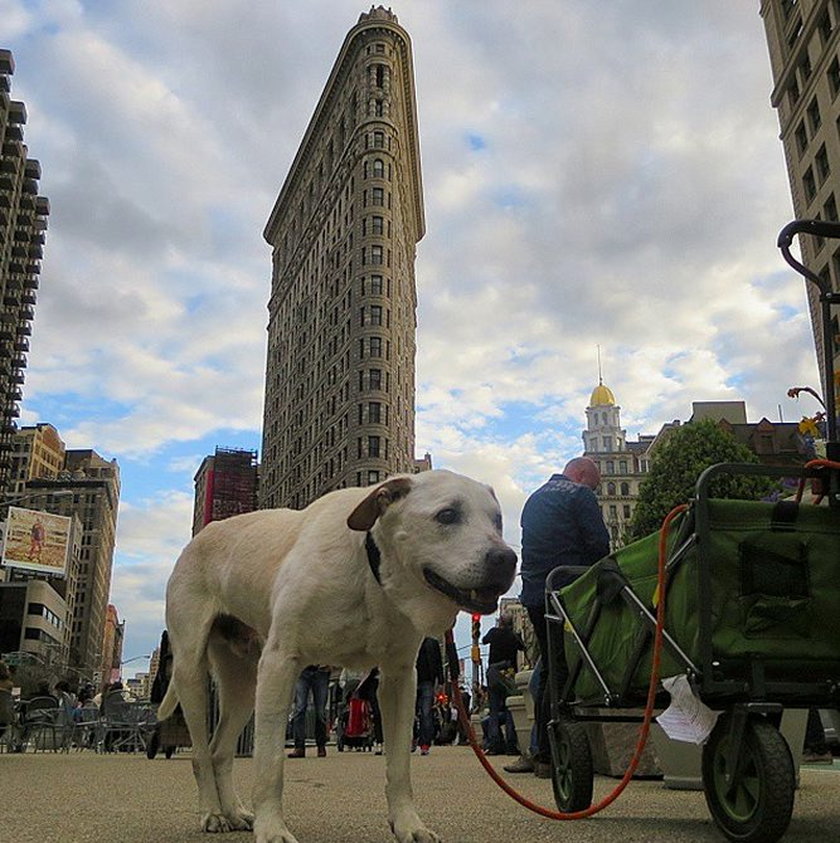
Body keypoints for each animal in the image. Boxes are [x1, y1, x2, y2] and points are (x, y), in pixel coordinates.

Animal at [154, 472, 516, 840]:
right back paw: (213, 813)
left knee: (219, 752)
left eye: (497, 521)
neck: (373, 571)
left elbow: (400, 765)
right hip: (192, 673)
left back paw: (234, 811)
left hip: (243, 683)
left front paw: (408, 825)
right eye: (447, 515)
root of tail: (201, 536)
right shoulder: (279, 664)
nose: (506, 559)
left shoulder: (400, 679)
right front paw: (272, 829)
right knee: (201, 754)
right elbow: (270, 764)